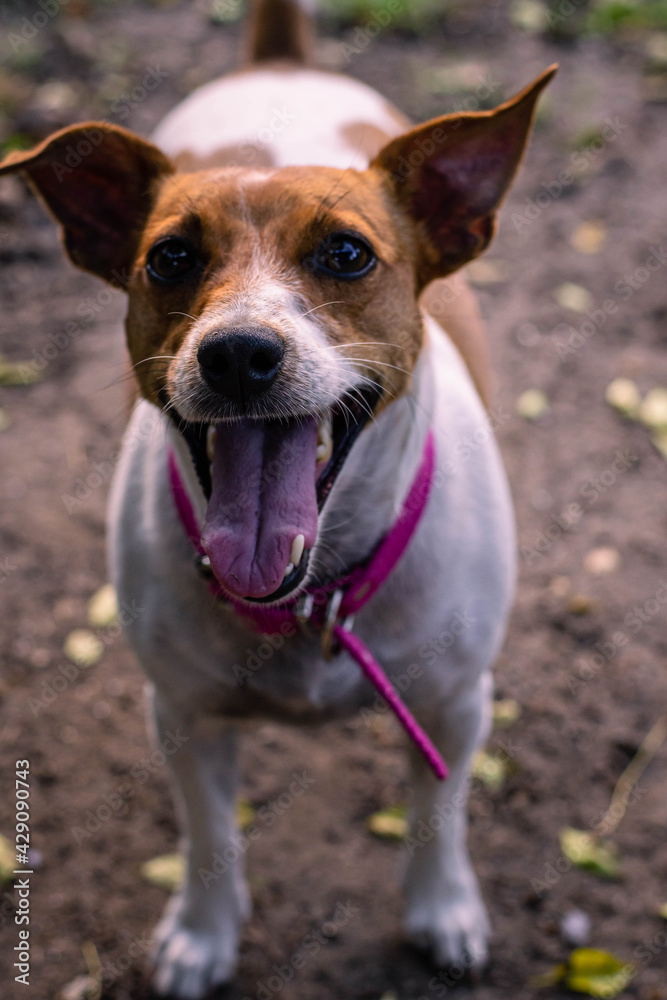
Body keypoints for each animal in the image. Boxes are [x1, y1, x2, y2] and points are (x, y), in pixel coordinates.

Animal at [0, 3, 552, 996]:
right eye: (169, 258)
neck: (310, 593)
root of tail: (282, 62)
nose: (238, 353)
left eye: (347, 254)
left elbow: (438, 813)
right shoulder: (182, 715)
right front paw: (203, 934)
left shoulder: (455, 705)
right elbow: (208, 835)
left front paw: (441, 909)